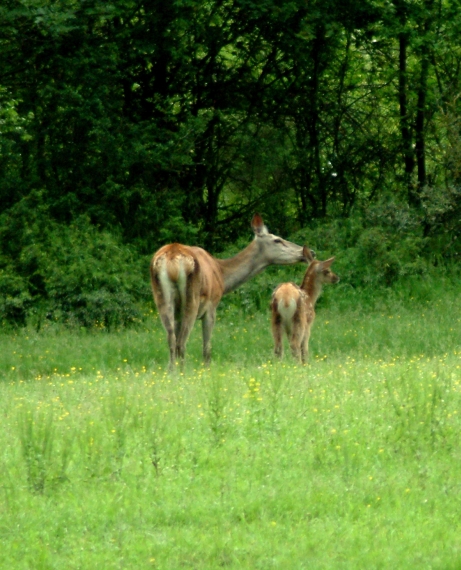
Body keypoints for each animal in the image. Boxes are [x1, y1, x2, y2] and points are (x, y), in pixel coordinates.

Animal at [151, 213, 310, 368]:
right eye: (277, 240)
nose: (309, 252)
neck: (222, 276)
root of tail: (171, 260)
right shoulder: (211, 305)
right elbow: (207, 347)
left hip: (162, 297)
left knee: (172, 339)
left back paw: (172, 371)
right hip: (192, 298)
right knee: (182, 341)